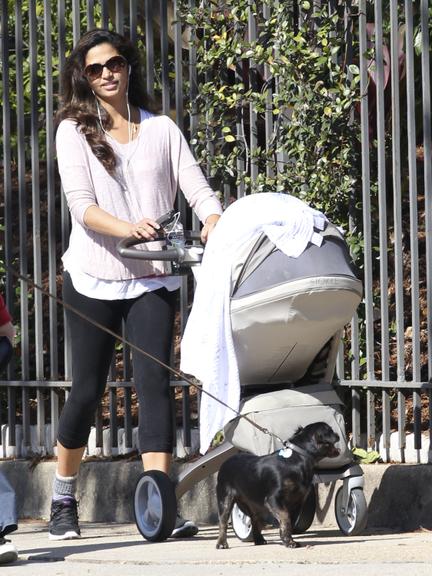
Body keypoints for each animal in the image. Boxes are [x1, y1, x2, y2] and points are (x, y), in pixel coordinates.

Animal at [216, 418, 340, 548]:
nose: (338, 434)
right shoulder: (273, 499)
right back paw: (221, 543)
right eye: (330, 430)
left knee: (255, 519)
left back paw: (259, 540)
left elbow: (289, 521)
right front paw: (288, 541)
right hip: (225, 500)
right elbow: (285, 517)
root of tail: (225, 463)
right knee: (223, 522)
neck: (299, 458)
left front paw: (287, 539)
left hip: (255, 504)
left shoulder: (298, 502)